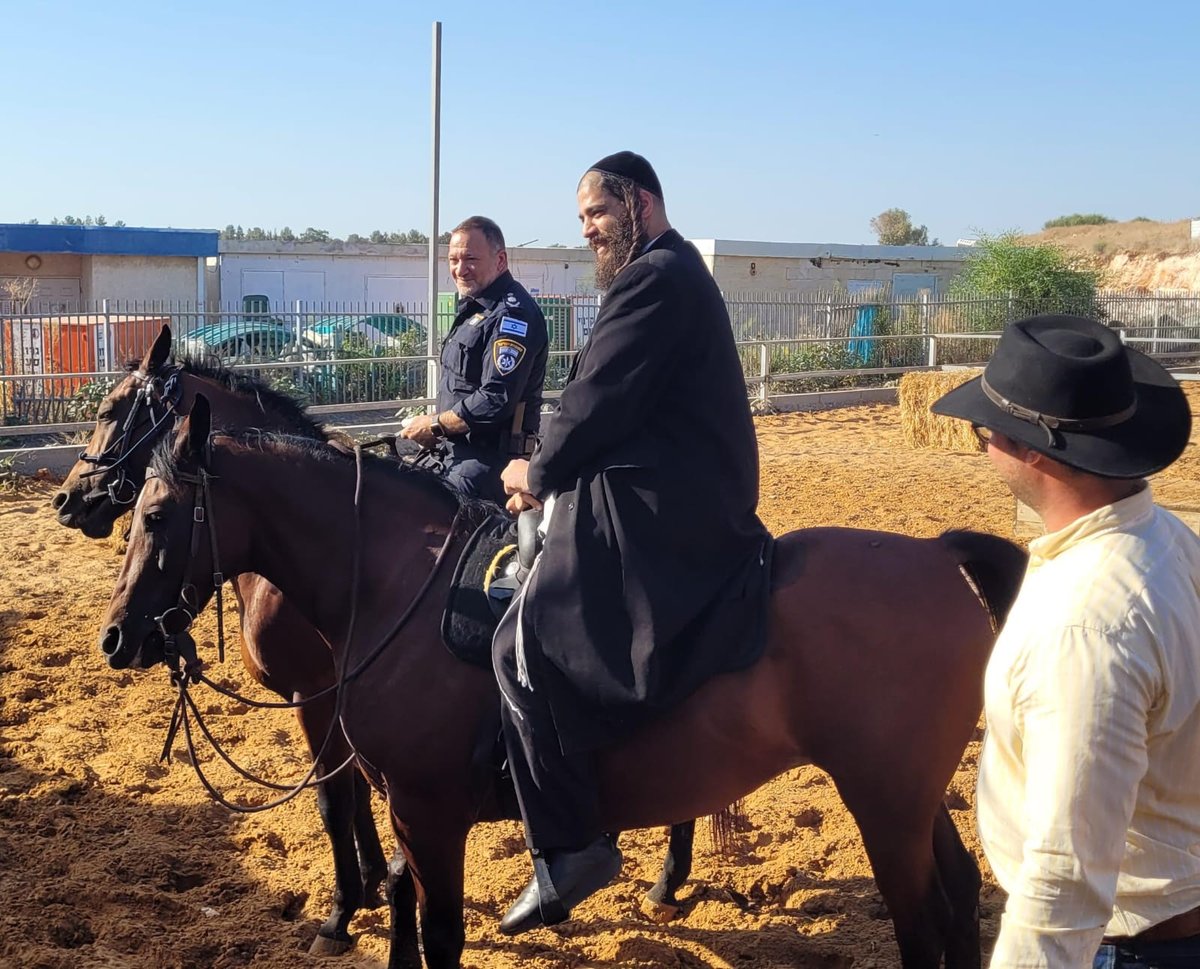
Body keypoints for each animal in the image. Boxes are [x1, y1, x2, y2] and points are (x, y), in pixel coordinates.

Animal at [98, 398, 1027, 968]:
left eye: (157, 513)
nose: (118, 636)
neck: (396, 582)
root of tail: (938, 553)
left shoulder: (427, 807)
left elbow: (437, 928)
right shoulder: (400, 801)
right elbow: (401, 899)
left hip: (883, 800)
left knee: (922, 922)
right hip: (909, 796)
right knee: (957, 896)